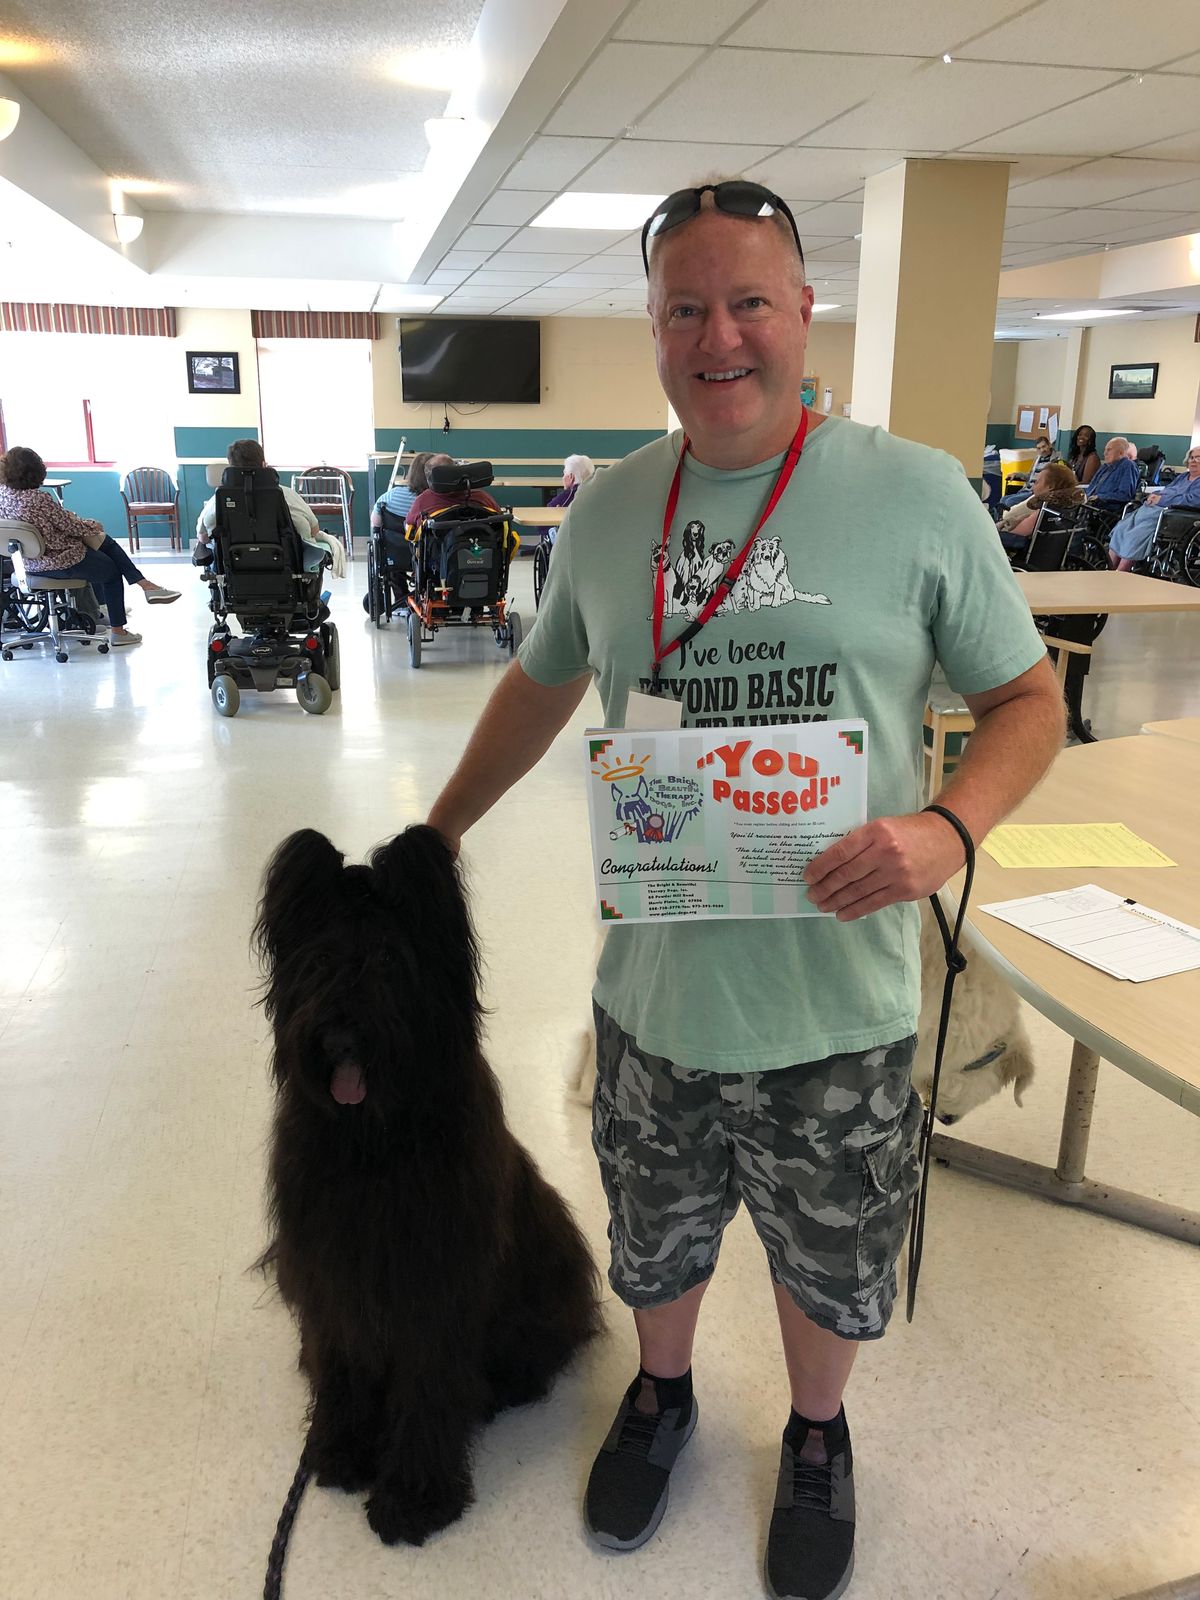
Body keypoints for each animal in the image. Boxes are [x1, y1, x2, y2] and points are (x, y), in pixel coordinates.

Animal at [255, 826, 602, 1549]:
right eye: (321, 959)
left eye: (389, 959)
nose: (339, 1032)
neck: (376, 1146)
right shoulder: (331, 1276)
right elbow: (339, 1366)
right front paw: (339, 1448)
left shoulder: (434, 1289)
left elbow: (427, 1388)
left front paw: (414, 1497)